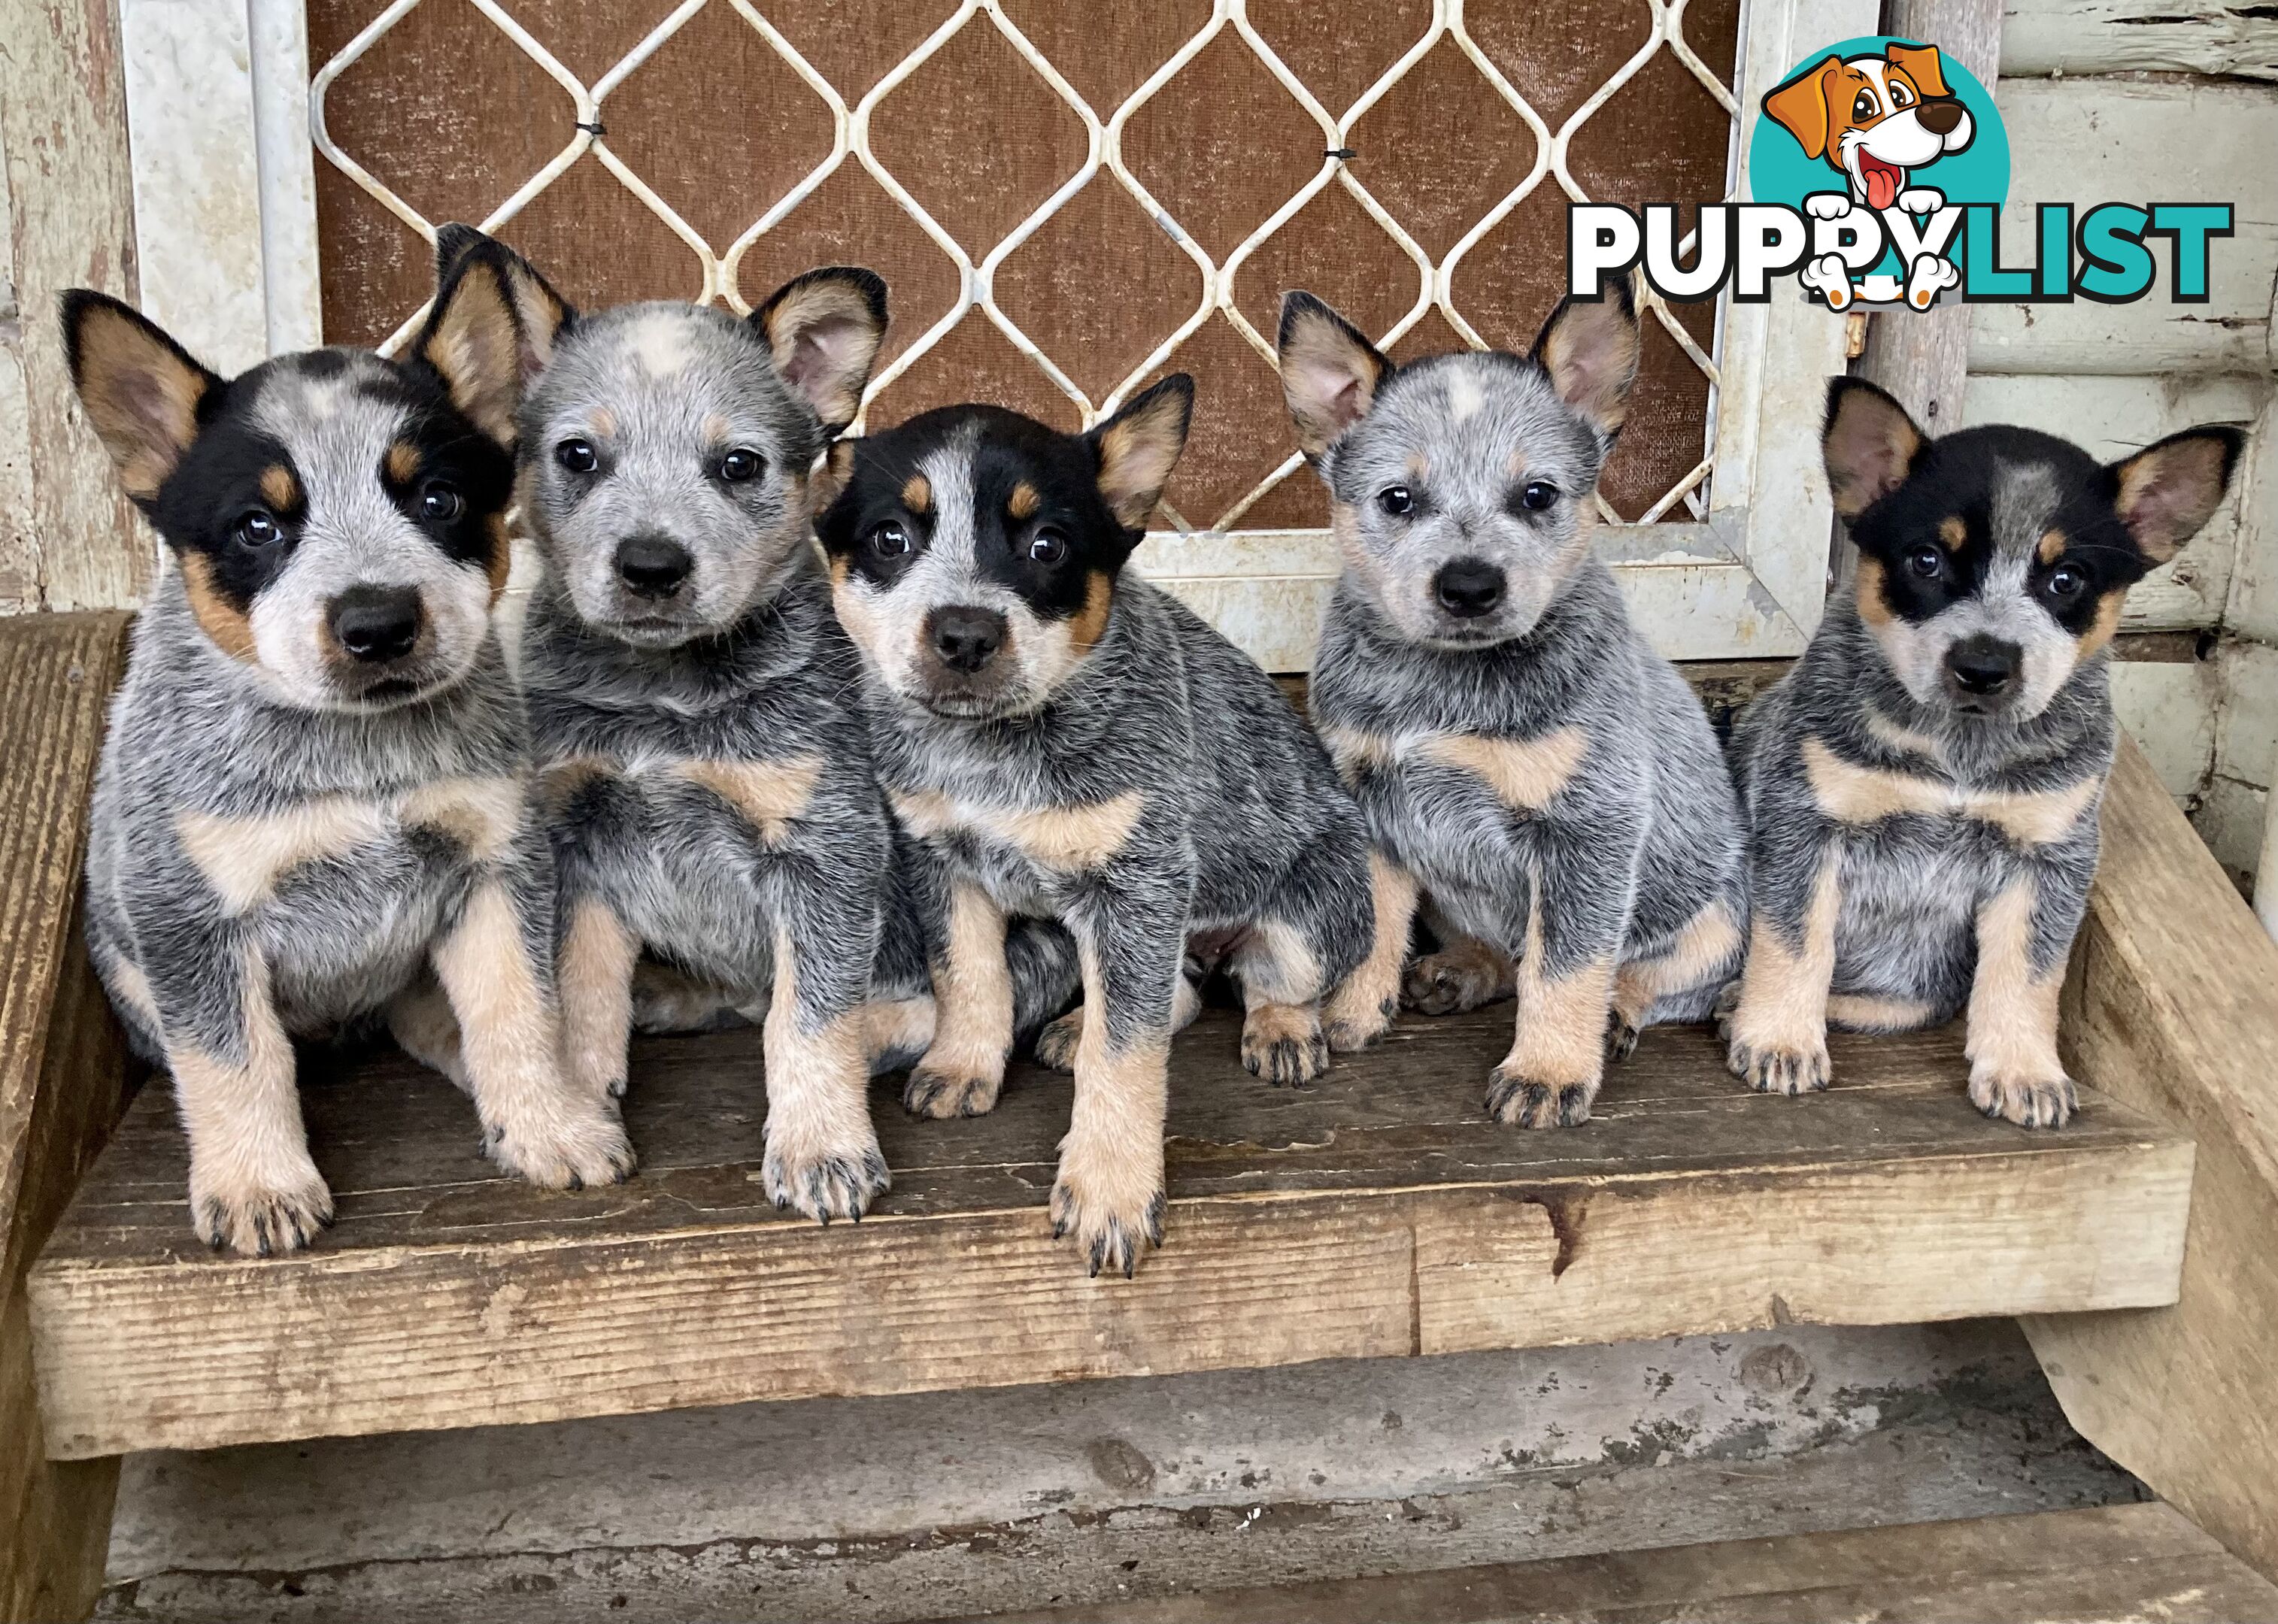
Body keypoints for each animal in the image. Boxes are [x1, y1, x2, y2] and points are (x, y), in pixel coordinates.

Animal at [64, 262, 633, 1257]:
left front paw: (550, 1123)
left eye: (437, 499)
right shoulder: (192, 915)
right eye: (258, 525)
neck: (359, 761)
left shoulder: (494, 864)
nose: (378, 623)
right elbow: (232, 1060)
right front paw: (257, 1183)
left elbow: (519, 1011)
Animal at [824, 387, 1376, 1275]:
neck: (990, 751)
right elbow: (968, 976)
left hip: (1301, 911)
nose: (965, 633)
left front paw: (1110, 1188)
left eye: (1047, 544)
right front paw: (961, 1062)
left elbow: (1125, 1056)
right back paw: (1078, 1022)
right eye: (890, 538)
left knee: (1268, 978)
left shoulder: (1138, 884)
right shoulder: (942, 863)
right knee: (1174, 991)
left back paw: (1281, 1030)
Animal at [1285, 279, 1740, 1129]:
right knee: (1499, 950)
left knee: (1657, 981)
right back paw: (1460, 970)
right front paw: (1350, 1014)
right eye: (1397, 499)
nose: (1469, 586)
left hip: (1716, 917)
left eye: (1536, 496)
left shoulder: (1587, 832)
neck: (1441, 689)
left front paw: (1548, 1074)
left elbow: (1565, 970)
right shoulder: (1368, 806)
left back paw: (1616, 1017)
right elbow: (1374, 927)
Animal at [1721, 375, 2241, 1129]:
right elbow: (1794, 943)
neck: (1958, 755)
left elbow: (2025, 975)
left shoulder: (2046, 856)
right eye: (1927, 560)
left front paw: (2025, 1071)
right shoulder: (1806, 822)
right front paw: (1778, 1039)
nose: (1984, 666)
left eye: (2066, 579)